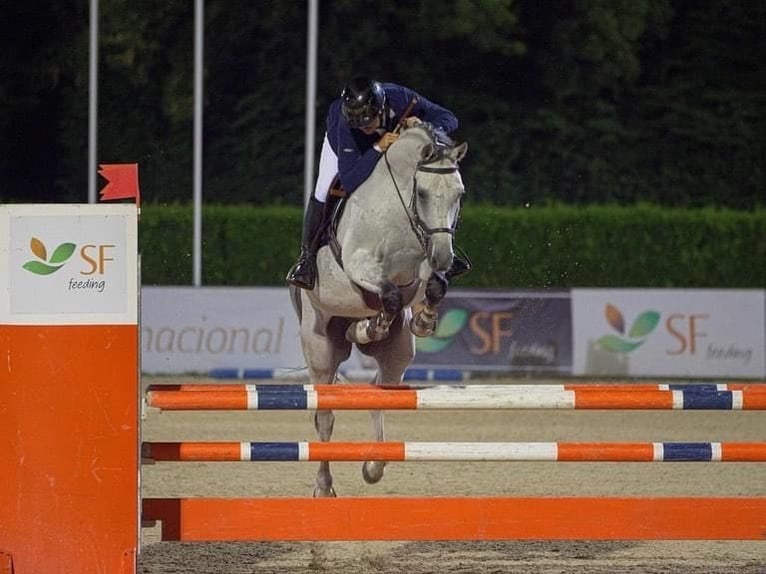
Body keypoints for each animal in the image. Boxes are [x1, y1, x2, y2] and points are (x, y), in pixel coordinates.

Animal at [290, 124, 464, 498]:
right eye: (423, 194)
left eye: (459, 194)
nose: (444, 256)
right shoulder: (360, 266)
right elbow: (389, 294)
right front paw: (372, 325)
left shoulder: (420, 269)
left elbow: (433, 287)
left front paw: (425, 320)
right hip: (319, 345)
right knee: (324, 416)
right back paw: (324, 486)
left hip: (397, 354)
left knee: (378, 393)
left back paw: (373, 465)